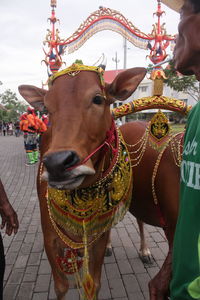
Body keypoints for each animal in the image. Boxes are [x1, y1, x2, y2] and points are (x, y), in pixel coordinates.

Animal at [18, 66, 181, 300]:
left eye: (97, 99)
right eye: (47, 108)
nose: (58, 163)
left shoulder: (98, 238)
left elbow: (93, 284)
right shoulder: (49, 236)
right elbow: (61, 287)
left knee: (138, 220)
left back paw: (145, 251)